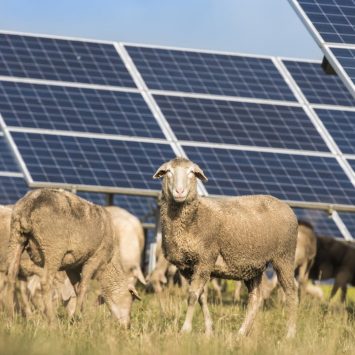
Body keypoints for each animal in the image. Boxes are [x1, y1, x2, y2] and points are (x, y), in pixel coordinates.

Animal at [4, 189, 140, 328]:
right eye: (131, 299)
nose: (127, 326)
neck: (110, 263)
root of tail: (30, 204)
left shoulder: (72, 266)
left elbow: (77, 288)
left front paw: (79, 314)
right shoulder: (94, 259)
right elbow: (84, 286)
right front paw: (77, 316)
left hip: (16, 237)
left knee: (11, 275)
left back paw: (10, 319)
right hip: (53, 248)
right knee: (45, 282)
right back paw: (52, 322)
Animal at [154, 159, 298, 340]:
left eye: (191, 173)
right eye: (168, 172)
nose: (179, 192)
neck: (194, 217)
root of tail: (286, 205)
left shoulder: (205, 258)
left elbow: (193, 296)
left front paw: (185, 329)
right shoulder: (187, 267)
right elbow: (201, 297)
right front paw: (209, 330)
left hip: (284, 256)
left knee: (291, 292)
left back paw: (290, 334)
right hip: (253, 265)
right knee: (255, 299)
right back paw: (241, 333)